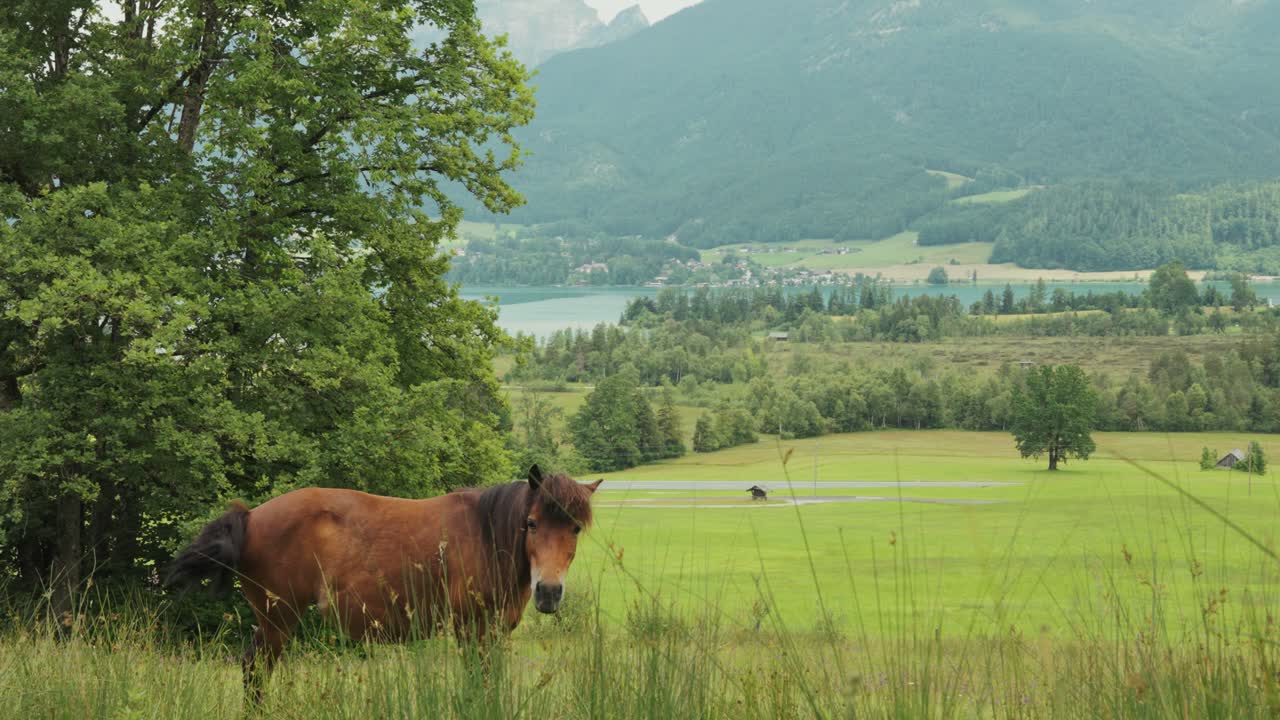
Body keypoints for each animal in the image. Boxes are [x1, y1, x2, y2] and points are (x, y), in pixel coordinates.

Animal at [164, 465, 600, 699]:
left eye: (575, 528)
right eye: (532, 523)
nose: (548, 592)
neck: (486, 535)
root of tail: (252, 516)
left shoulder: (493, 631)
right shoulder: (470, 628)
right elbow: (479, 682)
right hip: (277, 620)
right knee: (255, 671)